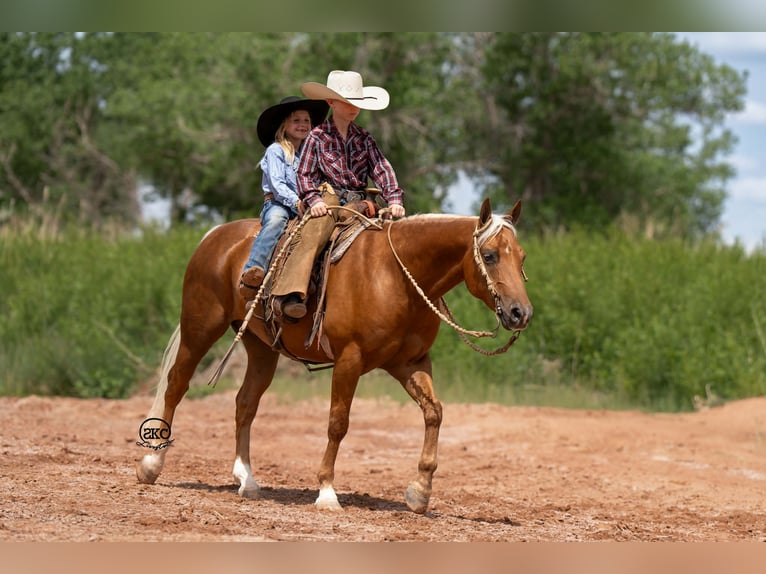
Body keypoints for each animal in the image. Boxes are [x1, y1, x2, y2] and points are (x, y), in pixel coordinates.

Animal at [135, 197, 533, 514]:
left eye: (522, 257)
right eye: (490, 256)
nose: (520, 313)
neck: (396, 275)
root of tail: (215, 235)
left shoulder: (411, 362)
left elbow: (434, 412)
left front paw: (420, 492)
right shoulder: (349, 360)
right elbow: (338, 423)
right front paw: (327, 492)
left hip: (260, 347)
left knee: (245, 403)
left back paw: (246, 479)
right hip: (200, 328)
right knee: (176, 385)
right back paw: (151, 464)